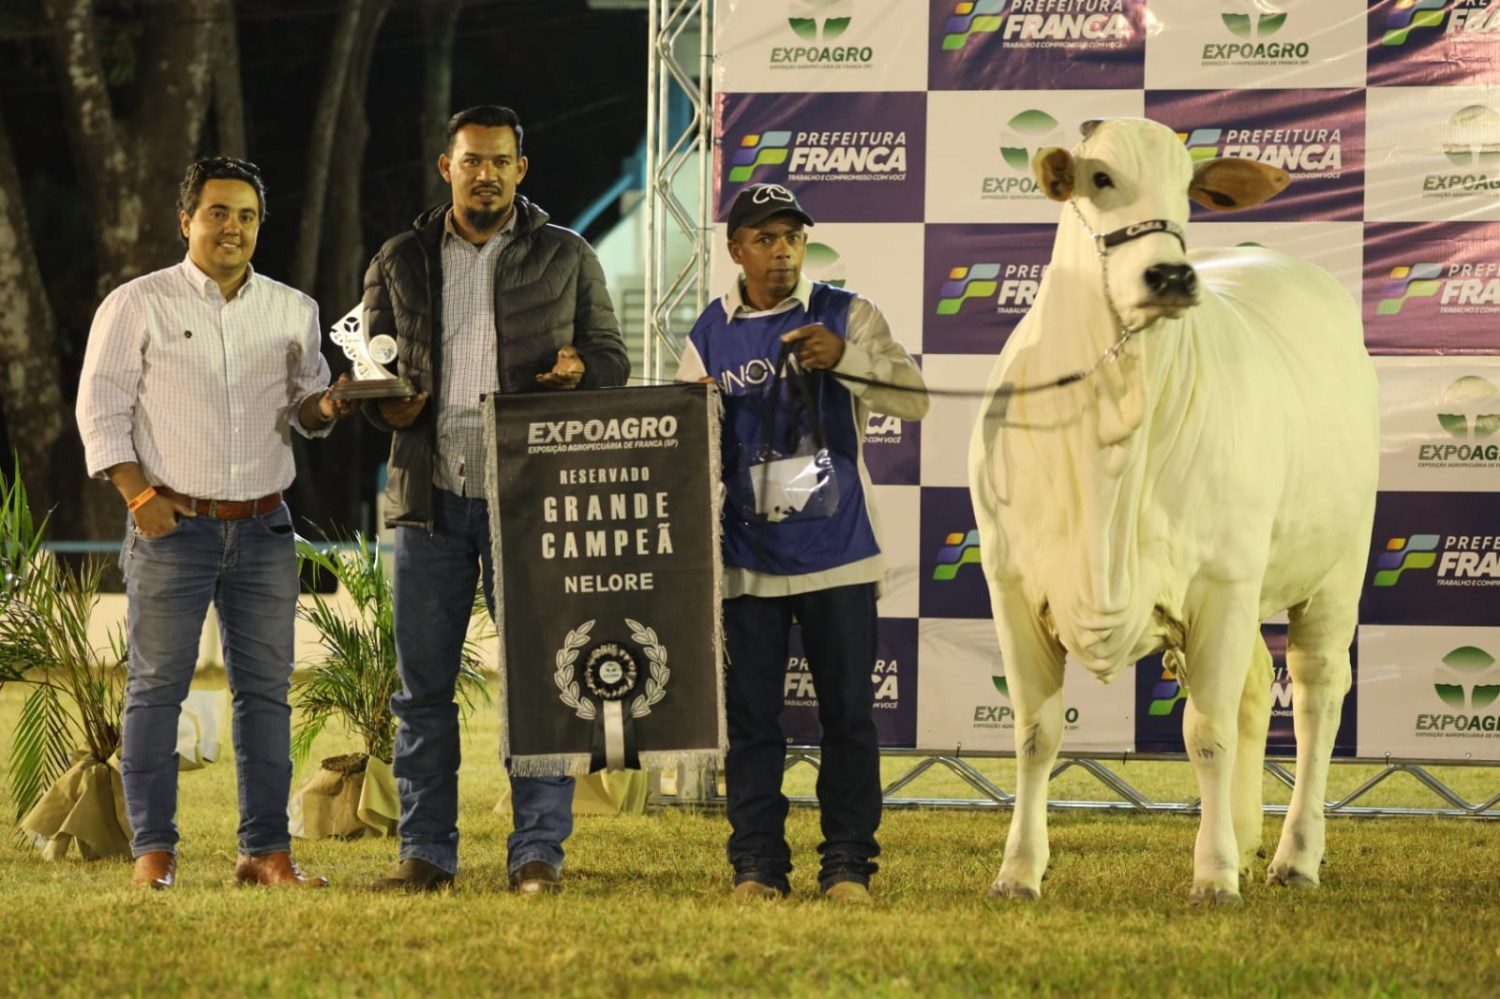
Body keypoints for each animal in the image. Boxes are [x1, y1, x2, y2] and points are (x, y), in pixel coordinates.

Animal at [966, 118, 1374, 900]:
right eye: (1100, 179)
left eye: (1190, 189)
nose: (1173, 277)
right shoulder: (1011, 583)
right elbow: (1035, 734)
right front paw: (1017, 870)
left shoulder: (1220, 585)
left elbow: (1205, 734)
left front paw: (1213, 875)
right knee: (1256, 687)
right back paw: (1245, 834)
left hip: (1332, 570)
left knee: (1316, 698)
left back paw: (1294, 854)